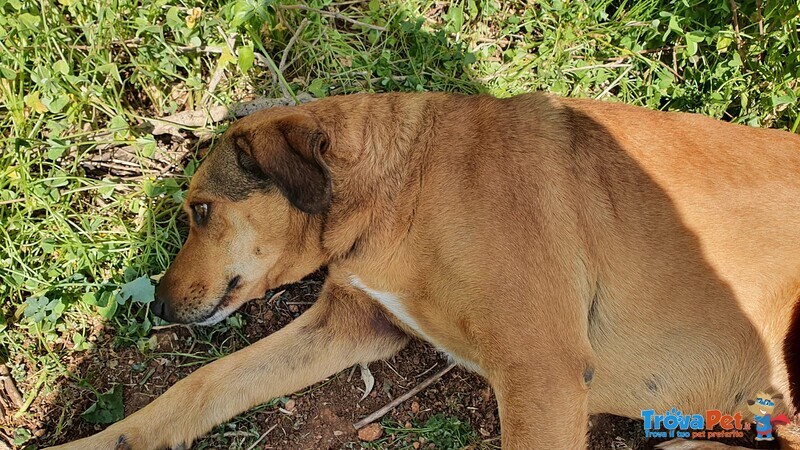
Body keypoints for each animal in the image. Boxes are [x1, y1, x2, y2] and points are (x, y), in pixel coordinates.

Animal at [48, 92, 800, 450]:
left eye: (201, 210)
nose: (160, 306)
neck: (400, 184)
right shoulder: (353, 323)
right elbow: (200, 386)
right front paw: (100, 443)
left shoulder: (542, 370)